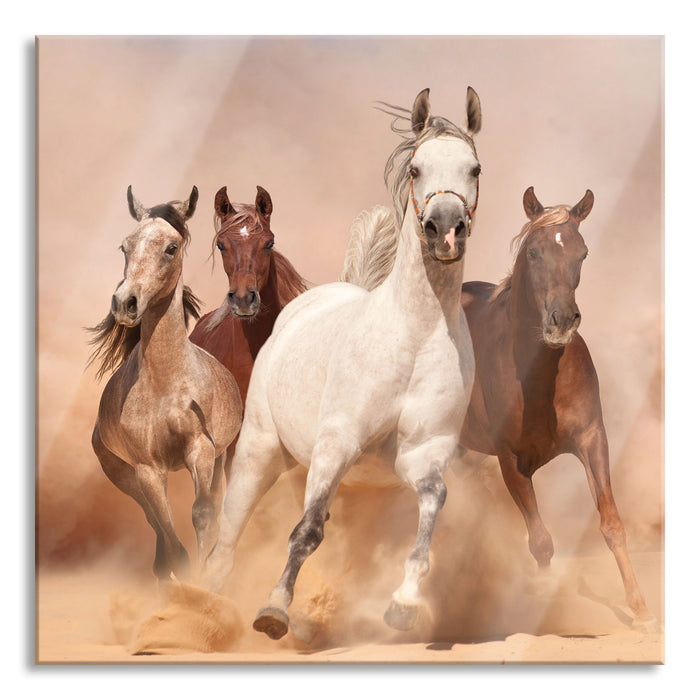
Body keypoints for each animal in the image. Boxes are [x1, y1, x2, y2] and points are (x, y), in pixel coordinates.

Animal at [87, 186, 243, 581]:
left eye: (171, 247)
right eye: (125, 246)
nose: (125, 303)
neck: (166, 386)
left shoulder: (201, 450)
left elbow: (203, 513)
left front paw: (207, 578)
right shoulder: (147, 469)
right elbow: (172, 541)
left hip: (219, 458)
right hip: (123, 475)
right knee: (154, 523)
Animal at [202, 87, 483, 640]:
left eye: (474, 168)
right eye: (416, 168)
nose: (445, 230)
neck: (414, 335)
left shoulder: (423, 454)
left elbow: (430, 513)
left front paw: (404, 603)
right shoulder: (338, 442)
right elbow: (305, 531)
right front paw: (273, 610)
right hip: (260, 450)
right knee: (228, 534)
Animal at [458, 186, 657, 629]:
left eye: (582, 253)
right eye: (533, 252)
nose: (562, 320)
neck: (539, 377)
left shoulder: (592, 439)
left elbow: (611, 523)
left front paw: (640, 609)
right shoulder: (510, 461)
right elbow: (542, 543)